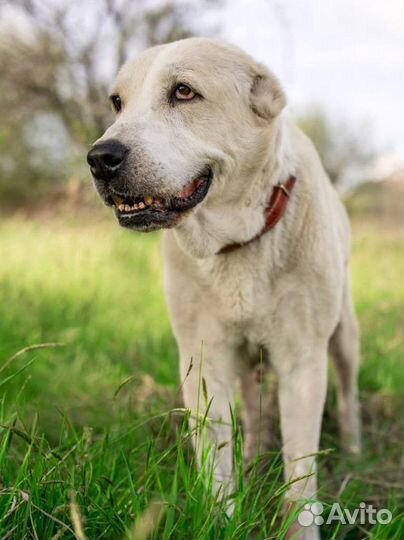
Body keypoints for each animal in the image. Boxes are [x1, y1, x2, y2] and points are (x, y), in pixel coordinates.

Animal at [87, 35, 362, 536]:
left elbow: (300, 470)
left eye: (183, 92)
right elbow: (215, 460)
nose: (100, 159)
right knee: (251, 413)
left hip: (345, 336)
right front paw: (222, 518)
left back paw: (355, 449)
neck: (237, 242)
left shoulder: (302, 362)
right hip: (244, 361)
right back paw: (253, 459)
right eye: (117, 102)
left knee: (349, 392)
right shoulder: (203, 359)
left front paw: (300, 526)